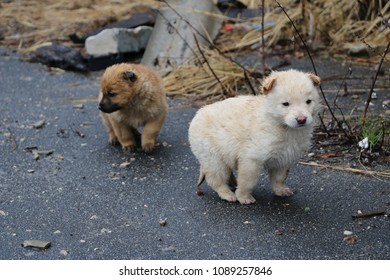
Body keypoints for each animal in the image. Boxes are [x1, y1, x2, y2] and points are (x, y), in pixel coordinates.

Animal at [189, 69, 320, 205]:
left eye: (308, 101)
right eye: (285, 104)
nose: (301, 120)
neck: (282, 126)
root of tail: (197, 115)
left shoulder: (284, 158)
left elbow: (279, 178)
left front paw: (280, 190)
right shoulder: (252, 159)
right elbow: (247, 181)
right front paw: (244, 197)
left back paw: (233, 183)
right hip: (213, 158)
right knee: (216, 179)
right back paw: (228, 194)